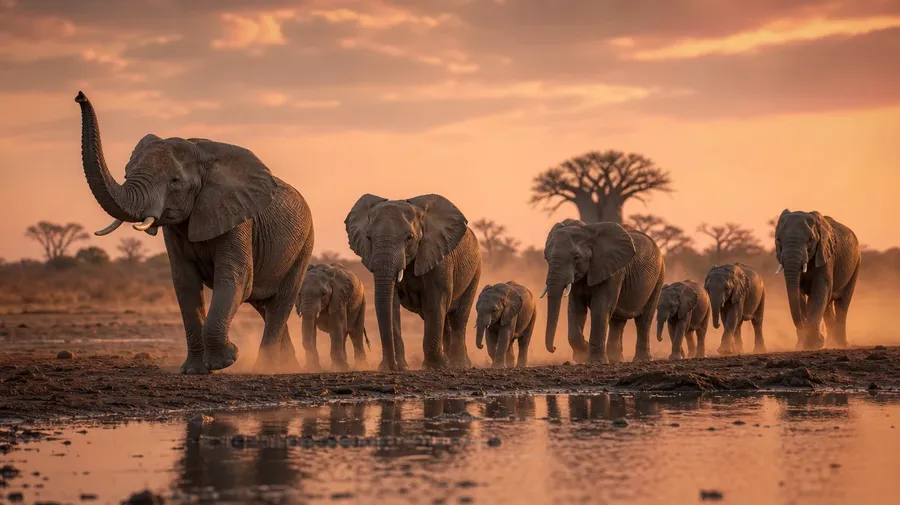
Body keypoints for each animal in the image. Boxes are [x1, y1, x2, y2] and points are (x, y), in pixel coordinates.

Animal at [74, 92, 314, 374]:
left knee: (279, 305)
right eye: (125, 174)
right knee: (264, 305)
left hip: (304, 245)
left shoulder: (237, 217)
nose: (79, 96)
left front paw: (226, 361)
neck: (203, 154)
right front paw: (194, 371)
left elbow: (235, 278)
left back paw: (266, 368)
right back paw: (285, 365)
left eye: (175, 182)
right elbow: (185, 283)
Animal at [345, 194, 482, 370]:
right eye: (368, 237)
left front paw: (433, 366)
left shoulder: (438, 257)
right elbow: (392, 305)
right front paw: (402, 367)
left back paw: (458, 364)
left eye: (409, 237)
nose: (391, 366)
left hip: (476, 269)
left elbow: (435, 302)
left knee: (459, 316)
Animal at [542, 219, 665, 364]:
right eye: (546, 257)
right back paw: (615, 360)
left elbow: (601, 307)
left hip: (659, 277)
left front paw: (595, 361)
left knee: (644, 319)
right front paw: (582, 355)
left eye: (577, 257)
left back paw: (642, 360)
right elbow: (576, 308)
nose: (554, 348)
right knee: (618, 320)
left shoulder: (612, 271)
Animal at [774, 210, 861, 350]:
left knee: (842, 303)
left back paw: (841, 344)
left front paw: (813, 344)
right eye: (778, 240)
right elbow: (799, 294)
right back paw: (831, 343)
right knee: (828, 305)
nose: (802, 327)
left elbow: (820, 291)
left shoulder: (826, 255)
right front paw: (804, 344)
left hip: (856, 264)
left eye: (811, 240)